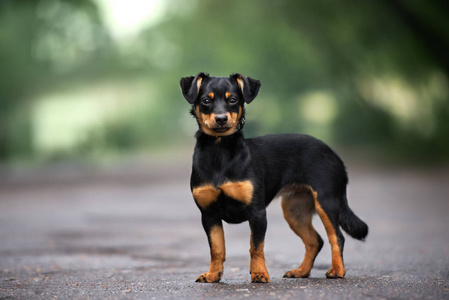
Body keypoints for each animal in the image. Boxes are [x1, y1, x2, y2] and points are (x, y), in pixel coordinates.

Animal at [179, 72, 368, 284]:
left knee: (336, 237)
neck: (219, 151)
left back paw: (337, 270)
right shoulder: (209, 214)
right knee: (315, 241)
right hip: (295, 210)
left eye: (233, 100)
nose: (221, 119)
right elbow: (217, 249)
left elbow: (256, 247)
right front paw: (213, 275)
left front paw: (260, 274)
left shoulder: (257, 212)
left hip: (326, 202)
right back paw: (301, 271)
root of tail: (335, 155)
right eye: (206, 101)